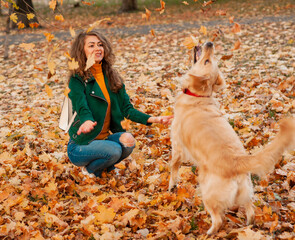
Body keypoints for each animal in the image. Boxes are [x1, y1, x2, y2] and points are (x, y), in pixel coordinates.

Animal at [169, 41, 295, 234]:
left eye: (207, 61)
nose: (210, 43)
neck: (199, 96)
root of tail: (237, 161)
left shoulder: (177, 144)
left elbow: (173, 167)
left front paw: (171, 185)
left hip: (207, 192)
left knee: (218, 219)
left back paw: (208, 233)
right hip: (246, 191)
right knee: (251, 211)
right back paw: (247, 225)